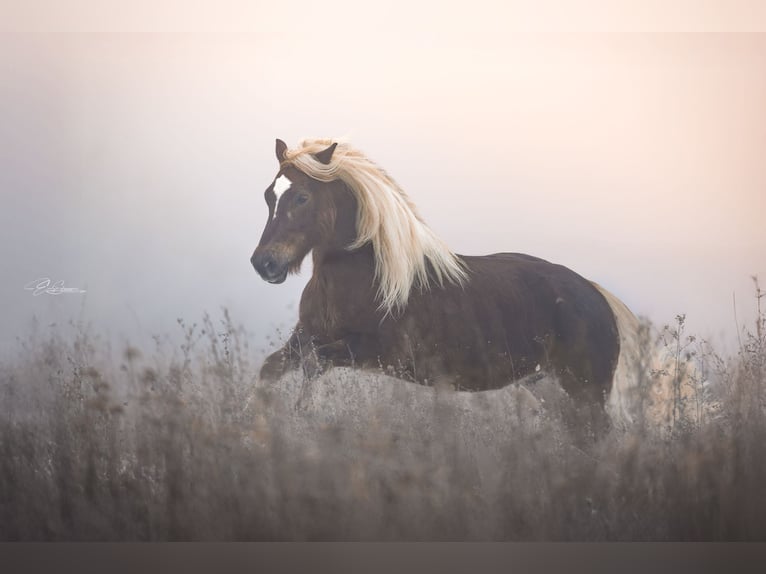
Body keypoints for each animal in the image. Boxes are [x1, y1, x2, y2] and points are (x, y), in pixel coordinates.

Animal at [251, 138, 643, 433]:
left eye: (302, 197)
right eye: (270, 194)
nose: (264, 264)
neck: (367, 279)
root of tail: (597, 295)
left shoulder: (378, 352)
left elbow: (315, 364)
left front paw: (305, 412)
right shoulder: (305, 337)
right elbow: (270, 371)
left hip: (585, 391)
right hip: (548, 386)